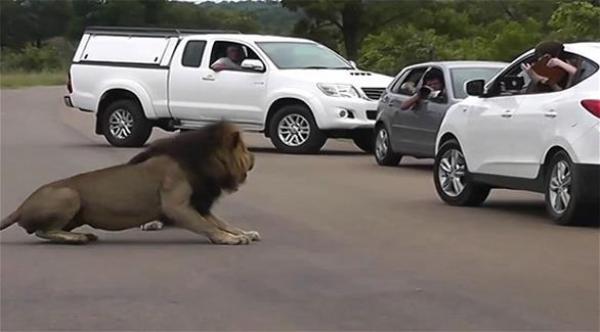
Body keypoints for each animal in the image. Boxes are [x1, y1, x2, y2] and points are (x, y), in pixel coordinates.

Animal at [2, 122, 260, 244]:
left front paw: (244, 233)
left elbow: (223, 222)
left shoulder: (199, 204)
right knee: (41, 232)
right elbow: (209, 227)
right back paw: (79, 238)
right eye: (245, 149)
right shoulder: (176, 206)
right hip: (68, 194)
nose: (255, 159)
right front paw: (229, 239)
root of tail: (21, 207)